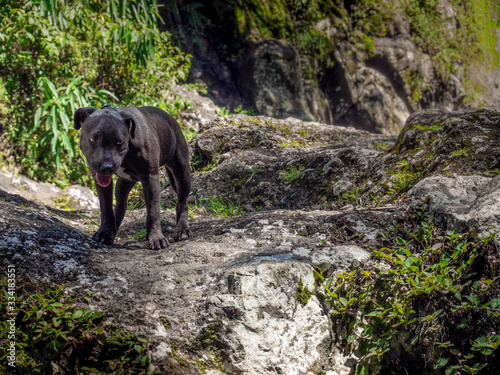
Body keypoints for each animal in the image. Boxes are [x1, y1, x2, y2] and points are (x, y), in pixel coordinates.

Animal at [74, 106, 191, 250]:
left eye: (119, 142)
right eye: (93, 139)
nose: (107, 166)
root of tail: (171, 119)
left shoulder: (150, 178)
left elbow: (153, 211)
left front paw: (156, 238)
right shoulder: (102, 181)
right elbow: (106, 207)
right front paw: (105, 233)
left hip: (181, 173)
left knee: (183, 201)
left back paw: (182, 229)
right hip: (123, 184)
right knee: (121, 205)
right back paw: (113, 230)